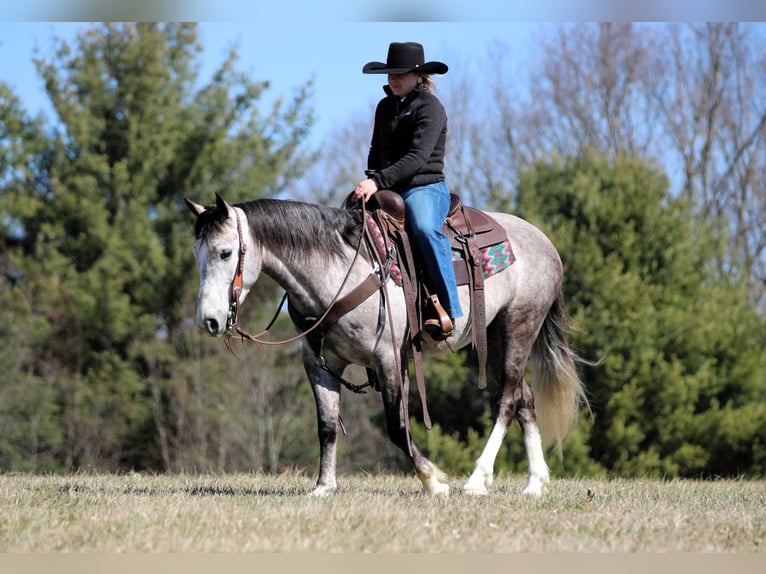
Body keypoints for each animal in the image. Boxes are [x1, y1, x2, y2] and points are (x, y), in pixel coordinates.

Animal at [185, 193, 587, 497]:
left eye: (225, 252)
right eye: (197, 254)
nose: (209, 321)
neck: (337, 273)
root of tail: (543, 241)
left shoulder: (390, 357)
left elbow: (397, 426)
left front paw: (433, 480)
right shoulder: (319, 363)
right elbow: (327, 425)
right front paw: (323, 487)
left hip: (519, 324)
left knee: (506, 400)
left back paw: (477, 479)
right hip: (492, 338)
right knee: (524, 398)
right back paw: (535, 483)